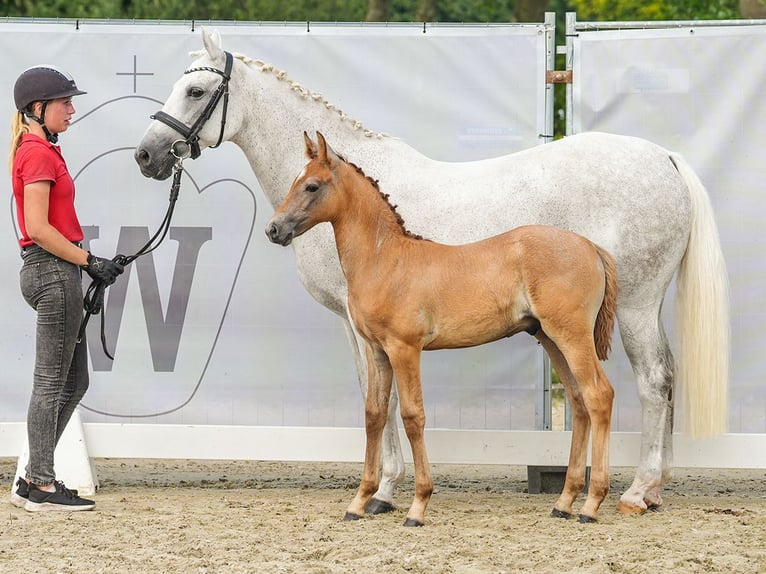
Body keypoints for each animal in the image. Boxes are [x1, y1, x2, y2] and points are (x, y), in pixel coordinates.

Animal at [135, 28, 728, 516]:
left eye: (194, 91)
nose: (146, 155)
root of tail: (665, 158)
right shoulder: (360, 326)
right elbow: (378, 400)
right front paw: (383, 490)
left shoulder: (367, 327)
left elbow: (387, 401)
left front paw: (384, 491)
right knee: (664, 377)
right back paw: (651, 490)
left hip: (634, 307)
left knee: (652, 381)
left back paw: (634, 491)